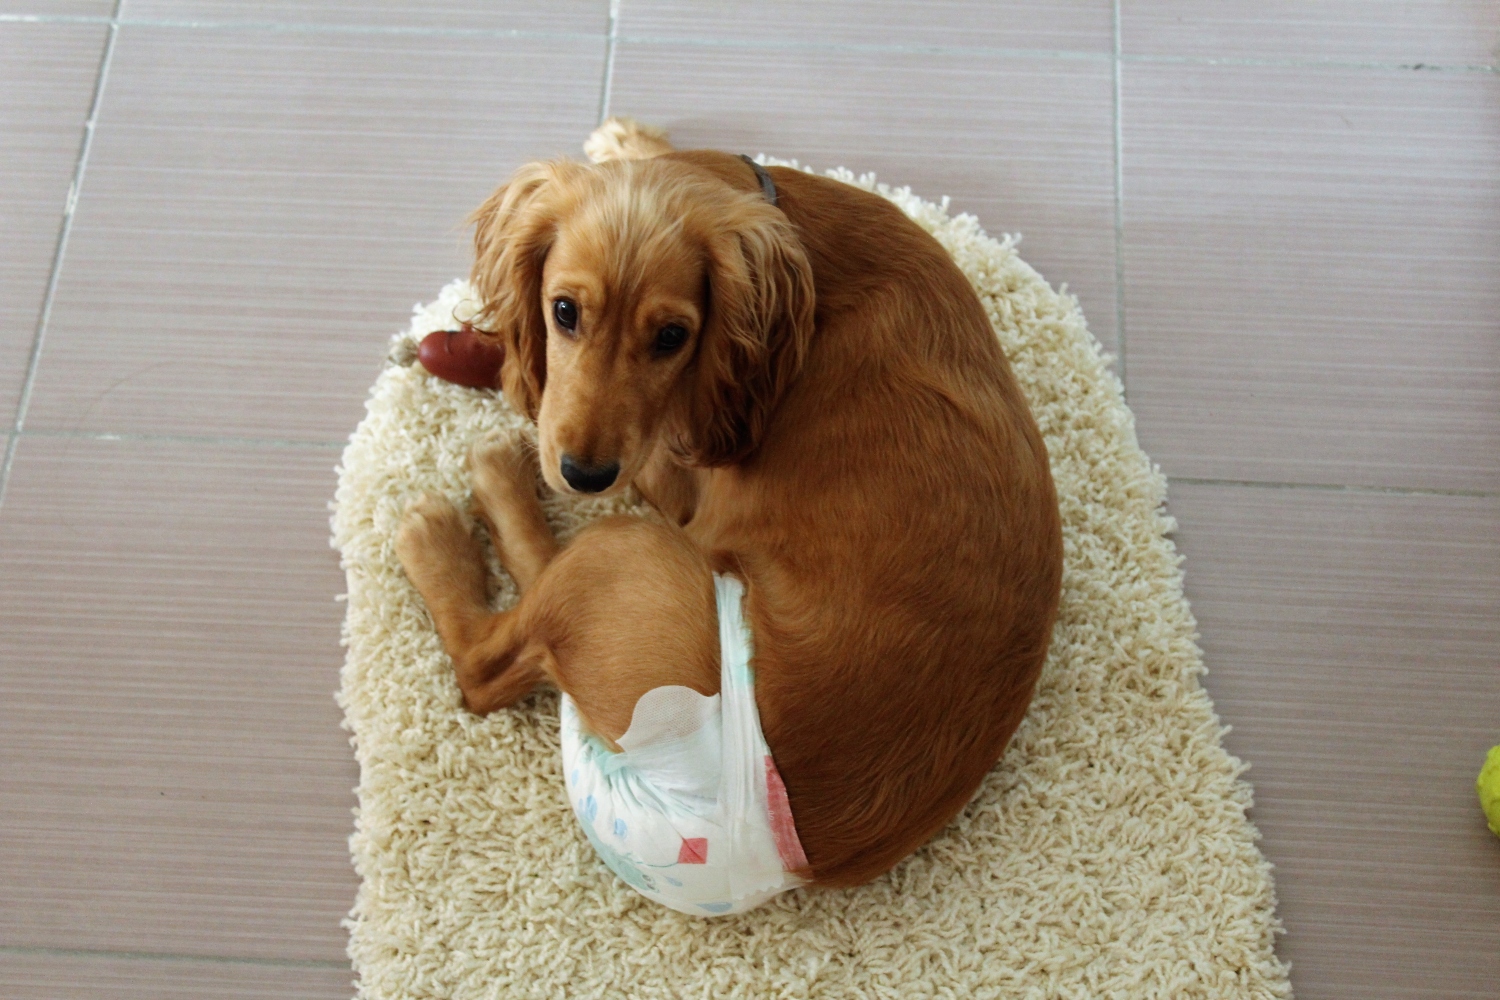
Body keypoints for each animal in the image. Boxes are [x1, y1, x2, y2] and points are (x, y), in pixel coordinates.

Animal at [393, 119, 1062, 893]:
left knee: (486, 663)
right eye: (563, 311)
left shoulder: (682, 462)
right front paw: (625, 139)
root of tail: (787, 865)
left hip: (632, 557)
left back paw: (460, 511)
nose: (584, 475)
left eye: (672, 337)